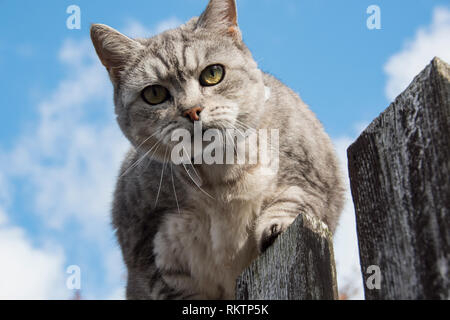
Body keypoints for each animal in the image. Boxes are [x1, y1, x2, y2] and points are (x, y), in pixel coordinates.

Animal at [90, 0, 344, 300]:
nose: (192, 110)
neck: (221, 180)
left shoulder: (314, 175)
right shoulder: (150, 252)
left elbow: (295, 200)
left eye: (212, 74)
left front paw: (274, 227)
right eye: (154, 94)